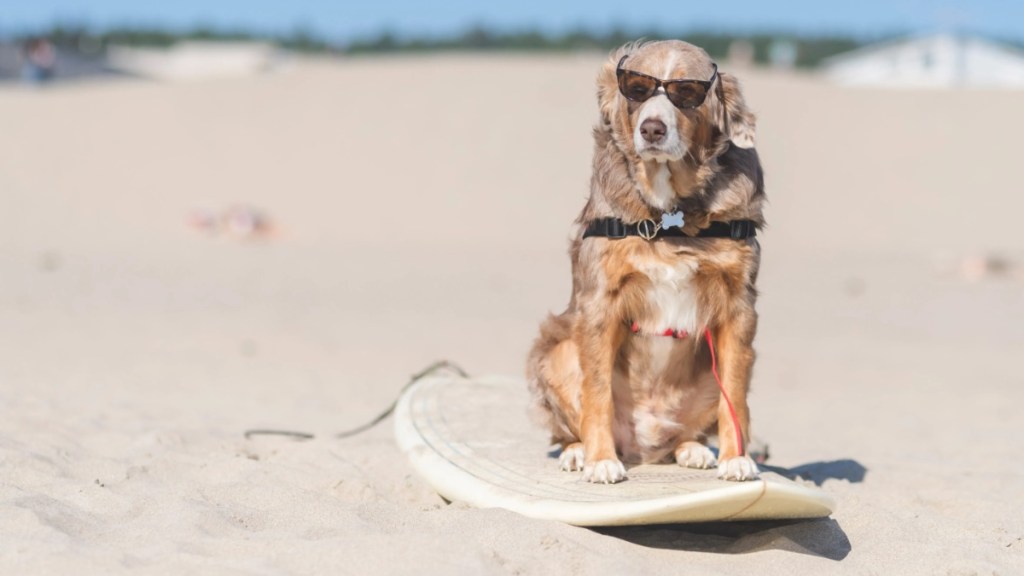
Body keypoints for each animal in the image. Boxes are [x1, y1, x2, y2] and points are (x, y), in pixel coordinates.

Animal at [528, 38, 761, 481]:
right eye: (636, 89)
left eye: (687, 93)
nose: (652, 128)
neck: (669, 215)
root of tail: (645, 446)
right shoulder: (600, 304)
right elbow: (597, 392)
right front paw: (601, 460)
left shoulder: (739, 307)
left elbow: (737, 392)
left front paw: (735, 457)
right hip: (558, 353)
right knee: (569, 423)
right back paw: (578, 452)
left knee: (685, 432)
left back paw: (692, 449)